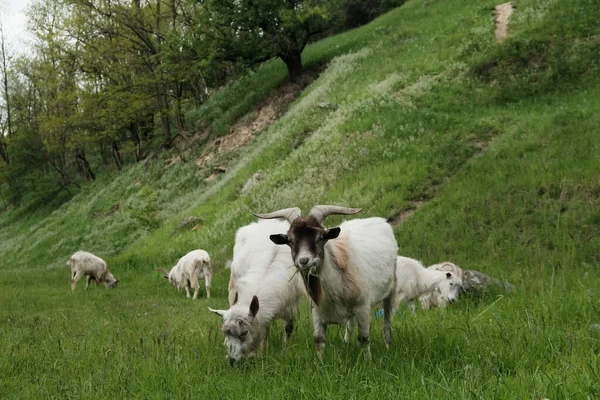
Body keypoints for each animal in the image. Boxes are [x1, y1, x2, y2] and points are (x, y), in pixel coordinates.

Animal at [210, 220, 304, 364]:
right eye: (225, 333)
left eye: (244, 332)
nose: (232, 361)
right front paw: (260, 351)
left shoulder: (291, 307)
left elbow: (288, 329)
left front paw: (285, 349)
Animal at [254, 205, 398, 358]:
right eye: (290, 240)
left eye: (321, 237)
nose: (304, 261)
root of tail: (379, 220)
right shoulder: (317, 312)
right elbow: (319, 339)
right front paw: (320, 361)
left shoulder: (363, 306)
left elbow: (364, 338)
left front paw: (367, 361)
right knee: (350, 324)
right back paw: (346, 342)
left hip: (391, 287)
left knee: (387, 321)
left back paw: (388, 346)